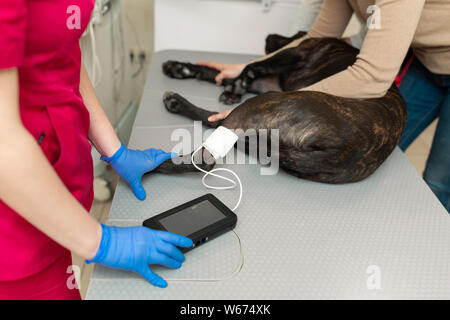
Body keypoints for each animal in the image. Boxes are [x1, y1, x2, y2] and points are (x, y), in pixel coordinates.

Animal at [155, 33, 408, 184]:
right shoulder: (270, 81)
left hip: (270, 100)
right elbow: (221, 72)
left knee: (207, 152)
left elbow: (249, 67)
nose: (270, 36)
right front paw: (180, 68)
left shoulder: (295, 54)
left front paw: (234, 87)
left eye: (294, 35)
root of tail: (345, 151)